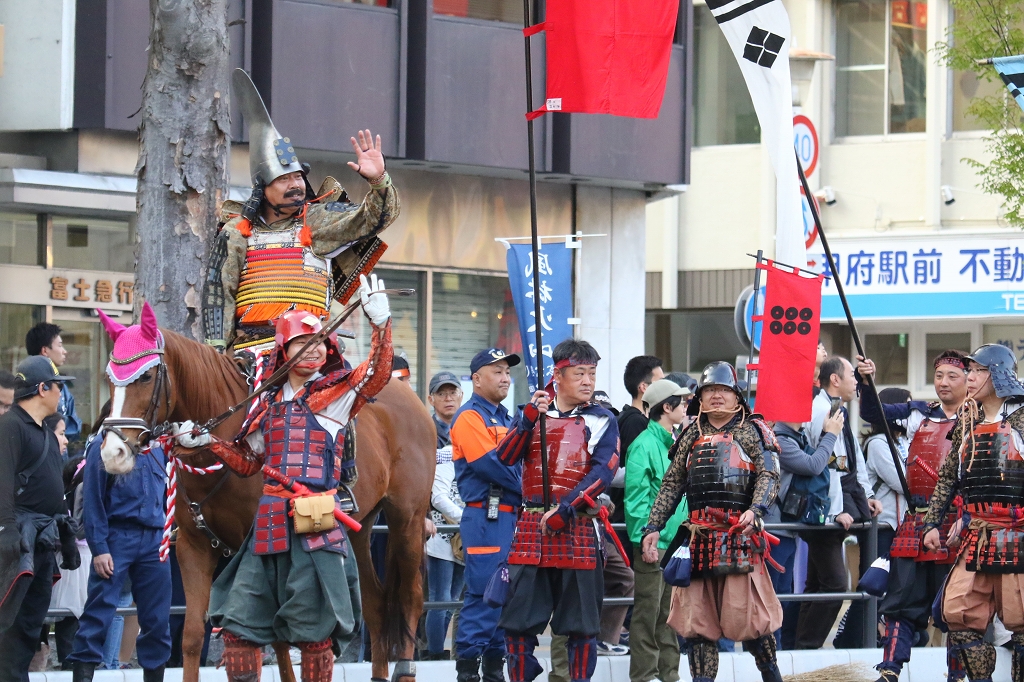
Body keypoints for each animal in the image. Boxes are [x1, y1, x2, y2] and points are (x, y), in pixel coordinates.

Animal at [101, 319, 438, 679]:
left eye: (146, 377)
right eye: (110, 379)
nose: (112, 452)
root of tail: (413, 399)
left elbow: (276, 634)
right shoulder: (194, 547)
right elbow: (192, 636)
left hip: (407, 518)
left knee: (410, 596)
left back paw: (405, 668)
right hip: (359, 530)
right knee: (374, 604)